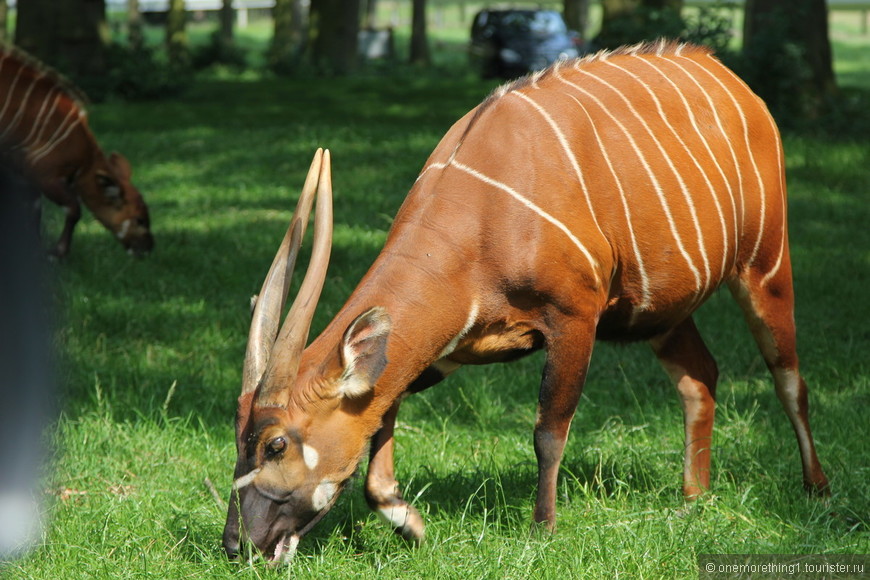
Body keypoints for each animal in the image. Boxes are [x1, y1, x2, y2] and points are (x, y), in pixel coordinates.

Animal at [0, 46, 153, 260]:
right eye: (139, 219)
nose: (148, 248)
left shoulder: (21, 174)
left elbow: (33, 209)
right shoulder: (45, 176)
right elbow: (73, 209)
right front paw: (55, 253)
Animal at [225, 42, 832, 560]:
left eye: (275, 445)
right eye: (237, 434)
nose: (236, 544)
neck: (480, 216)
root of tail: (734, 82)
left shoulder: (573, 319)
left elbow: (548, 429)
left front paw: (543, 531)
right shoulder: (446, 350)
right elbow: (382, 414)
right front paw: (409, 522)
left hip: (765, 265)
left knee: (790, 379)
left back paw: (817, 489)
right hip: (660, 312)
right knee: (700, 378)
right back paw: (693, 497)